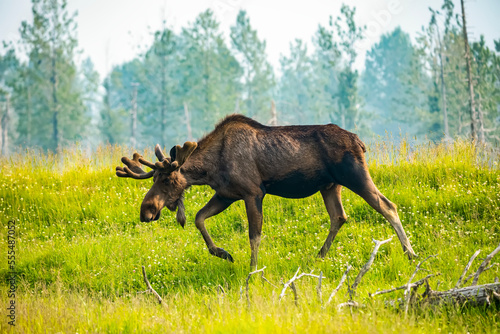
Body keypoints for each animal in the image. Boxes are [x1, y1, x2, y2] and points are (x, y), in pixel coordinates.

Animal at [115, 115, 416, 266]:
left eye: (166, 180)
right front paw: (223, 253)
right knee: (339, 216)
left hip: (355, 175)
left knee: (387, 206)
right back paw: (319, 255)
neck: (210, 168)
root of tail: (360, 141)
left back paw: (410, 253)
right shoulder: (226, 194)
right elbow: (200, 218)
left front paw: (253, 269)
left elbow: (254, 236)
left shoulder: (252, 192)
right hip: (330, 186)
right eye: (154, 179)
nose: (146, 211)